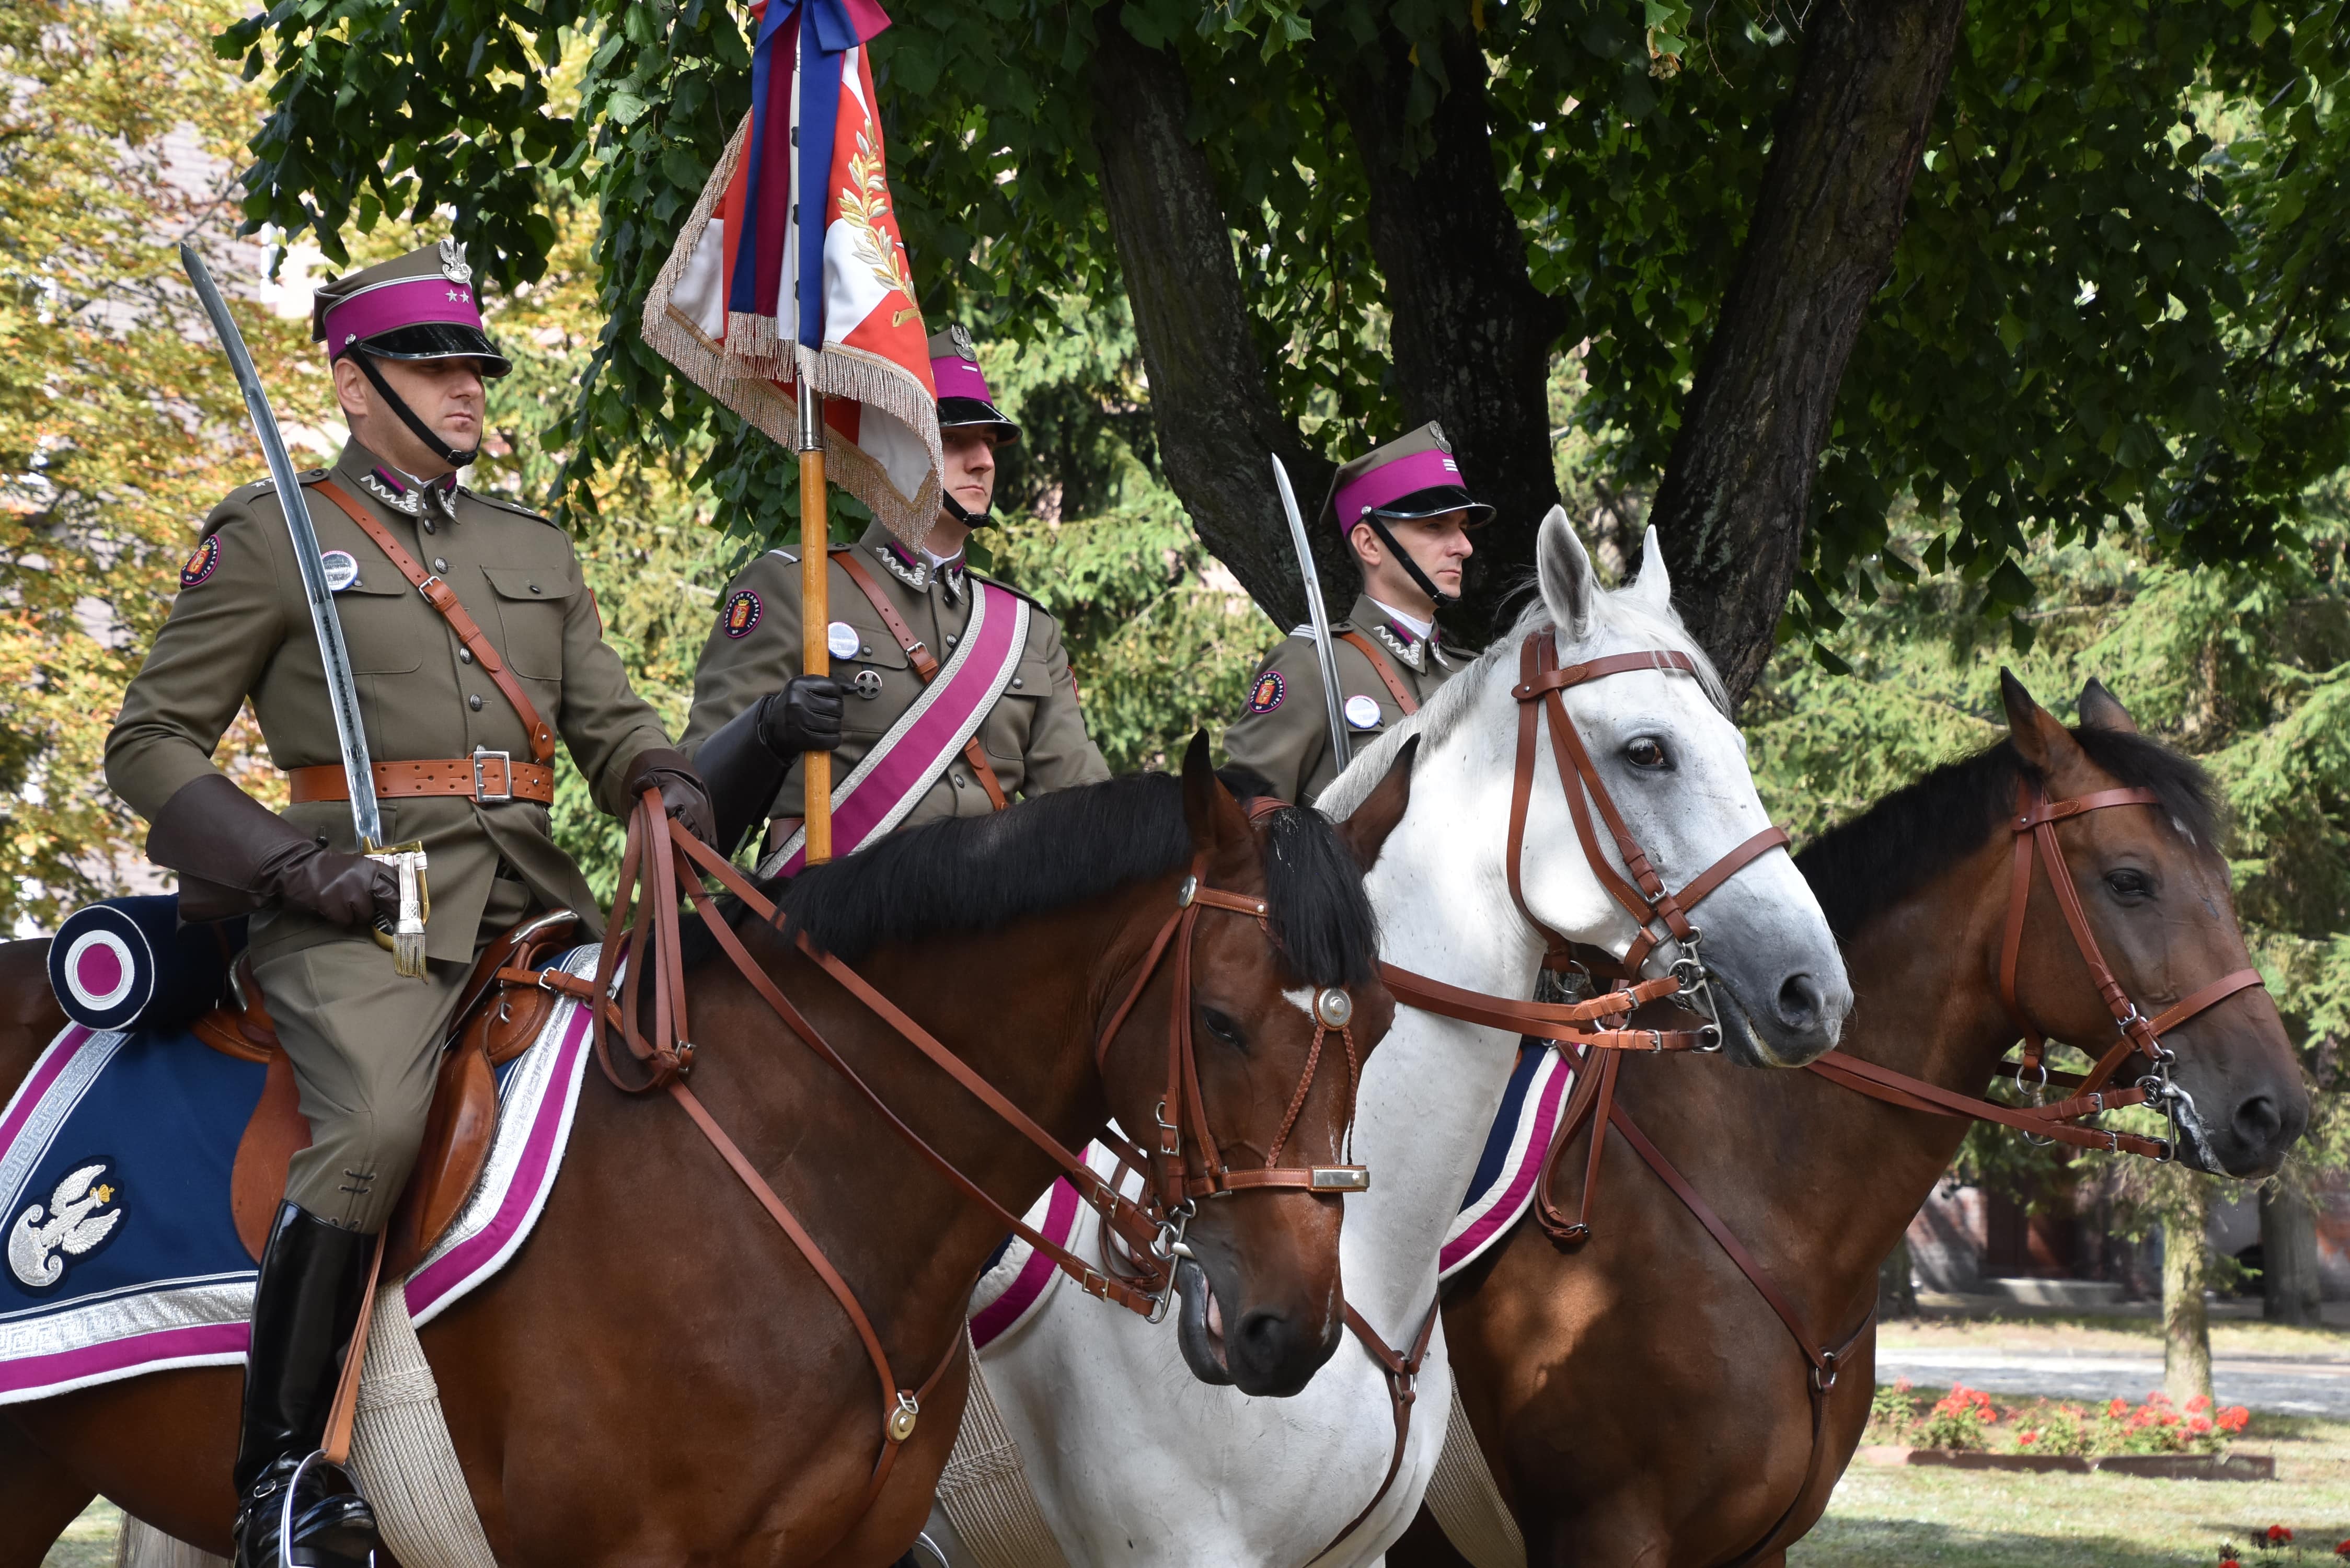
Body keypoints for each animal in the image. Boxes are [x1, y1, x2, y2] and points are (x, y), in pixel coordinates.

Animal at [1391, 677, 2312, 1568]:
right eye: (2129, 879)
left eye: (2224, 882)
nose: (2277, 1110)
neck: (1765, 1197)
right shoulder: (1607, 1538)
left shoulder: (1757, 1549)